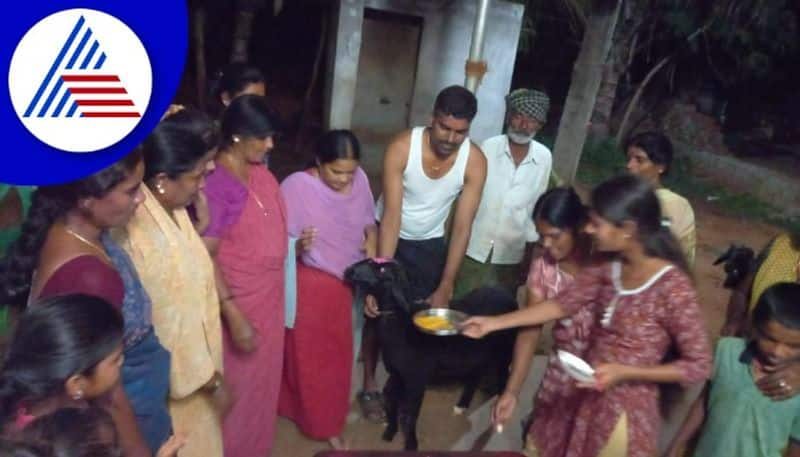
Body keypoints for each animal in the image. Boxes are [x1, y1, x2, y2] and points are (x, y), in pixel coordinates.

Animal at [342, 256, 516, 448]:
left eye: (382, 270)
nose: (348, 271)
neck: (400, 322)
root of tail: (506, 293)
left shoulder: (417, 379)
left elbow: (410, 414)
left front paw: (411, 444)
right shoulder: (398, 374)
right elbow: (391, 400)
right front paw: (390, 432)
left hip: (505, 350)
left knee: (504, 378)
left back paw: (498, 416)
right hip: (477, 353)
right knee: (475, 375)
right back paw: (462, 405)